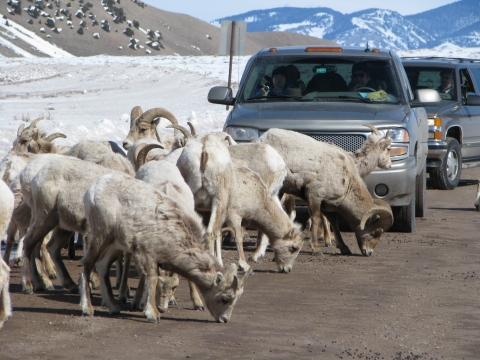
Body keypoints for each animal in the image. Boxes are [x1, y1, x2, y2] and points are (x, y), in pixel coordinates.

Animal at [79, 173, 248, 322]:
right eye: (225, 299)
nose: (224, 319)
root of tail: (94, 188)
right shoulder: (148, 254)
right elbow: (152, 279)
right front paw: (152, 314)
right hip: (100, 236)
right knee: (87, 263)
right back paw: (88, 309)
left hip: (114, 244)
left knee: (102, 266)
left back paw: (113, 308)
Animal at [258, 128, 394, 258]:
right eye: (377, 232)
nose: (369, 253)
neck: (347, 178)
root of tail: (261, 139)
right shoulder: (314, 196)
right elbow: (316, 219)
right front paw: (317, 248)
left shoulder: (327, 203)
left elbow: (333, 222)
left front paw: (344, 248)